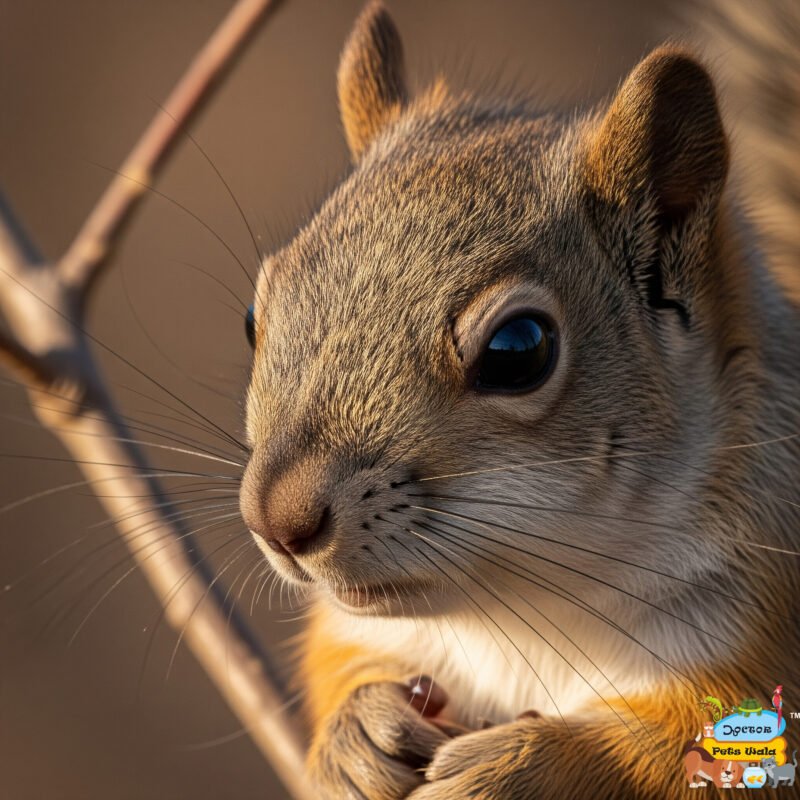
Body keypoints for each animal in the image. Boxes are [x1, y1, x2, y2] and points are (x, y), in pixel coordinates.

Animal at [238, 1, 800, 797]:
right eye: (254, 318)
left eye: (518, 349)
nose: (276, 522)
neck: (519, 609)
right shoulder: (363, 629)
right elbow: (336, 664)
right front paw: (354, 738)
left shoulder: (759, 625)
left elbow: (670, 758)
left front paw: (521, 768)